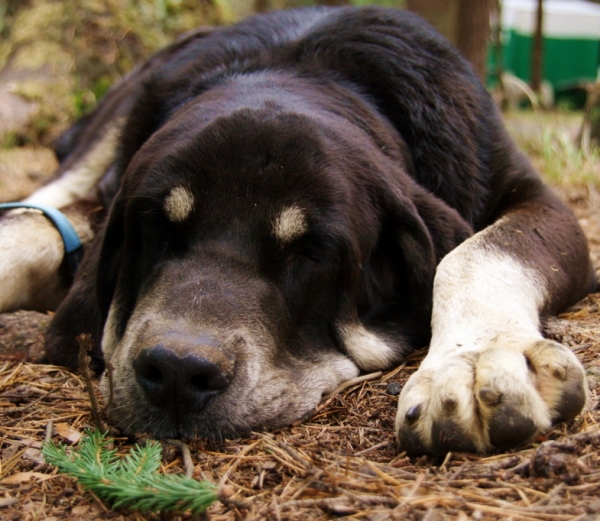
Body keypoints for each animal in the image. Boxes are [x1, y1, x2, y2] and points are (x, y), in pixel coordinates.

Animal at [0, 6, 596, 452]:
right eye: (154, 227)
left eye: (311, 251)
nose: (176, 371)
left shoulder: (536, 199)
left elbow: (475, 254)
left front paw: (473, 362)